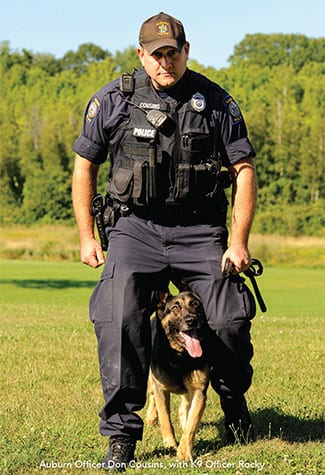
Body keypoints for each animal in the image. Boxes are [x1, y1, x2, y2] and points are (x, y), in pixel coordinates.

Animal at [146, 290, 209, 462]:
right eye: (175, 308)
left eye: (195, 304)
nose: (191, 320)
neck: (180, 356)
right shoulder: (160, 388)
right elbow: (165, 419)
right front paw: (170, 445)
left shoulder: (199, 391)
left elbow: (192, 424)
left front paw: (184, 452)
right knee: (152, 396)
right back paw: (151, 417)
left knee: (184, 407)